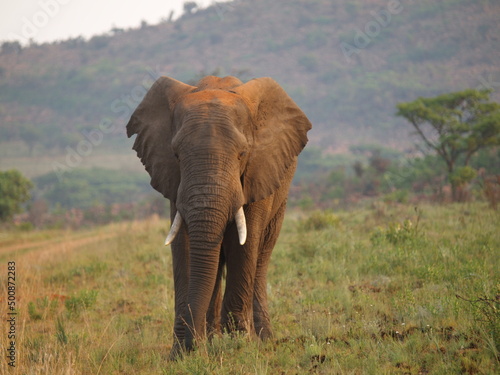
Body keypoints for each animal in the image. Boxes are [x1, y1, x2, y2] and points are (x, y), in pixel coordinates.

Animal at [127, 74, 310, 358]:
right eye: (176, 155)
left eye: (242, 153)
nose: (189, 346)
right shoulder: (174, 182)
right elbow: (184, 247)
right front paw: (183, 354)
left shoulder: (257, 173)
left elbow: (244, 243)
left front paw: (240, 347)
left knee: (261, 257)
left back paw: (263, 339)